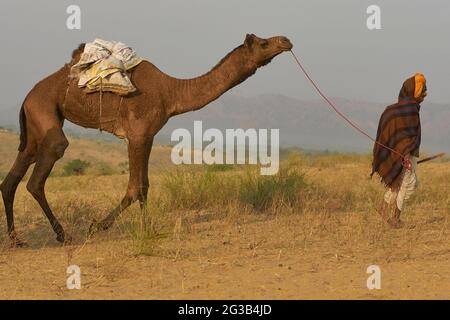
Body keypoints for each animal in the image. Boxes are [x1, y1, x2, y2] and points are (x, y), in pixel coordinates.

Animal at [0, 33, 294, 246]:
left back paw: (16, 240)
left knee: (13, 177)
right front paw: (99, 226)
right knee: (41, 171)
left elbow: (145, 187)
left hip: (36, 122)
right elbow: (135, 188)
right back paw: (62, 235)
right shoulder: (138, 134)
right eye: (264, 43)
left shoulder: (148, 136)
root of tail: (26, 97)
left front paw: (146, 228)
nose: (286, 40)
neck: (172, 92)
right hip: (44, 109)